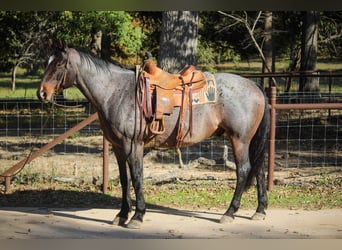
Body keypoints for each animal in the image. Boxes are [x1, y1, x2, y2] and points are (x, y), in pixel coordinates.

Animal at [37, 41, 270, 229]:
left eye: (59, 65)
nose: (42, 93)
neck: (116, 92)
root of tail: (255, 85)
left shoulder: (133, 145)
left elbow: (137, 177)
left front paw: (137, 216)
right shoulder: (118, 147)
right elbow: (124, 179)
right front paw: (122, 215)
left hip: (239, 139)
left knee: (244, 170)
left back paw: (229, 213)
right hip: (248, 141)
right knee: (258, 169)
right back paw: (259, 211)